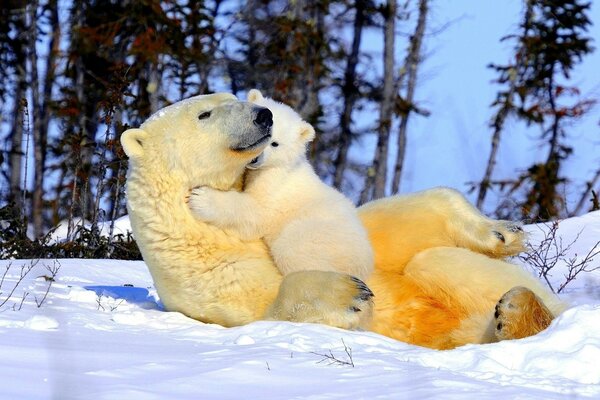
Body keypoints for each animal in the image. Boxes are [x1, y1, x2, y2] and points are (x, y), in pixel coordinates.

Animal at [190, 90, 372, 282]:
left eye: (274, 143)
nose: (255, 159)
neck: (282, 164)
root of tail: (364, 265)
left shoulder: (274, 183)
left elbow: (256, 210)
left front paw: (200, 199)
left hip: (316, 236)